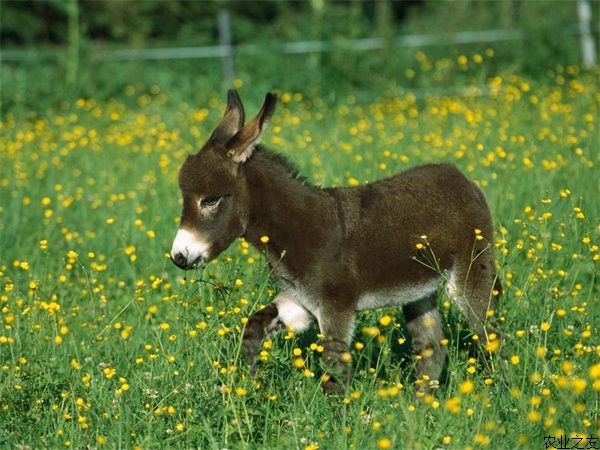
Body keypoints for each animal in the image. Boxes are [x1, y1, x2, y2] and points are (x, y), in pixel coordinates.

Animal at [170, 90, 502, 394]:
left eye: (210, 200)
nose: (179, 257)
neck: (298, 229)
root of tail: (461, 177)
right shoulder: (300, 301)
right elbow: (253, 328)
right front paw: (250, 387)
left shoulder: (336, 306)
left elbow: (334, 367)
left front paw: (336, 417)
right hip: (419, 290)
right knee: (431, 348)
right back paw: (423, 405)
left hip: (470, 272)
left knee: (489, 334)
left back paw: (496, 392)